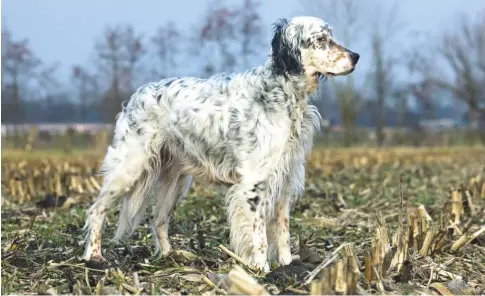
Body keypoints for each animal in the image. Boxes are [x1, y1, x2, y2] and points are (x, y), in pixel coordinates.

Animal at [83, 15, 358, 270]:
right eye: (320, 39)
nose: (355, 56)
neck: (282, 92)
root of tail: (137, 94)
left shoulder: (285, 180)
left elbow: (282, 231)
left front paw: (288, 266)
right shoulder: (254, 184)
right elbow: (259, 236)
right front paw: (262, 271)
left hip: (176, 181)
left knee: (157, 219)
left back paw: (171, 256)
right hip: (128, 168)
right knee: (97, 210)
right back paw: (93, 257)